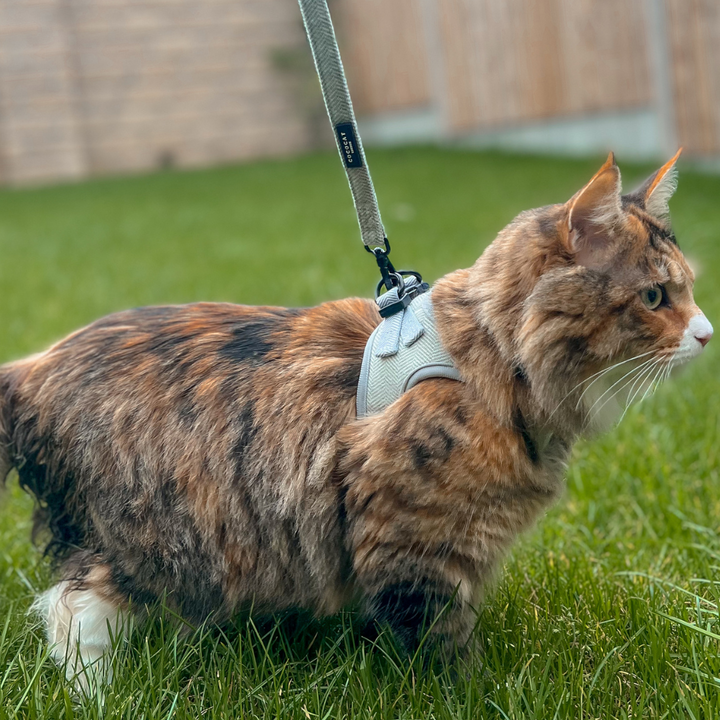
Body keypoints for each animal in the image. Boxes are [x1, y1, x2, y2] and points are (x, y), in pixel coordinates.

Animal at [0, 152, 712, 688]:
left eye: (688, 289)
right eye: (656, 297)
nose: (708, 334)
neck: (486, 357)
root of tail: (35, 365)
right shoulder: (418, 539)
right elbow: (441, 641)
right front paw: (471, 691)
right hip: (163, 538)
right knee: (70, 610)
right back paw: (100, 690)